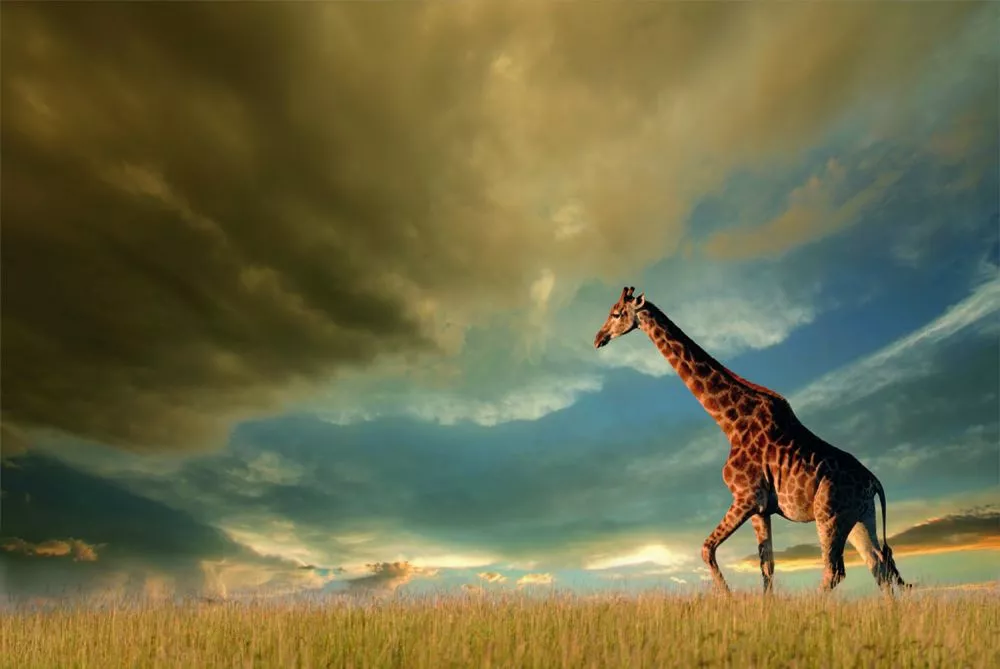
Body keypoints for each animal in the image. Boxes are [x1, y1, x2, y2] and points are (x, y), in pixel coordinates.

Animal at [593, 286, 908, 594]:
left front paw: (728, 597)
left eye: (617, 313)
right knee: (878, 565)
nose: (598, 338)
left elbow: (707, 549)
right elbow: (766, 566)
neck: (730, 423)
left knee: (836, 571)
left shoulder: (746, 497)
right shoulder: (761, 508)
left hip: (829, 515)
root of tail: (874, 482)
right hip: (860, 516)